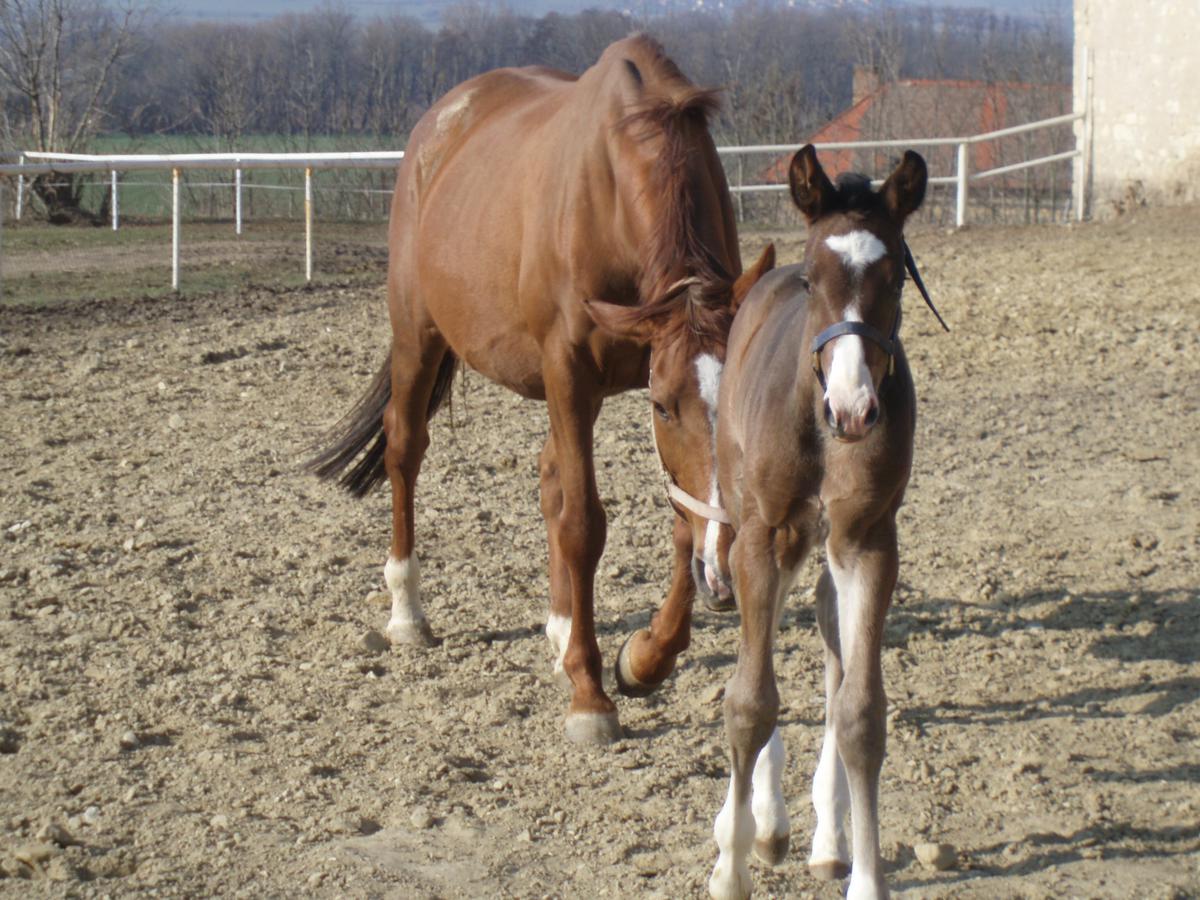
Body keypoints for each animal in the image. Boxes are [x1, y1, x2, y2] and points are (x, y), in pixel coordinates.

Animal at [309, 37, 772, 748]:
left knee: (550, 476)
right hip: (419, 336)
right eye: (664, 407)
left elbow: (676, 524)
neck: (617, 184)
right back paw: (408, 613)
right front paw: (590, 696)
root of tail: (440, 125)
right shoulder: (569, 370)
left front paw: (643, 658)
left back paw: (561, 630)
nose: (723, 577)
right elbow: (584, 524)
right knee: (404, 450)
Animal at [705, 148, 931, 900]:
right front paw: (733, 867)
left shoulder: (867, 542)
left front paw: (864, 876)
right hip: (758, 525)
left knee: (831, 648)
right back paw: (755, 824)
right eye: (813, 277)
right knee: (766, 639)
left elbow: (859, 712)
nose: (853, 409)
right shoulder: (763, 537)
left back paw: (827, 839)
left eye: (897, 275)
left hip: (827, 547)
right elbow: (750, 699)